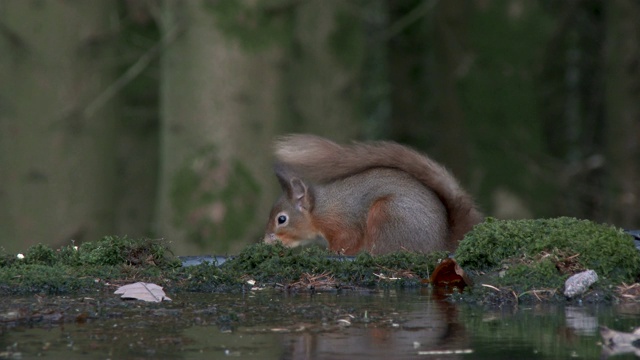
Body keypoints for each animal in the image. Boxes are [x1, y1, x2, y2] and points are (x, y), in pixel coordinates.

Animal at [262, 134, 482, 255]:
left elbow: (347, 240)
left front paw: (333, 252)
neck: (319, 211)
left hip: (387, 214)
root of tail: (444, 242)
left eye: (282, 219)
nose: (265, 241)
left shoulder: (342, 223)